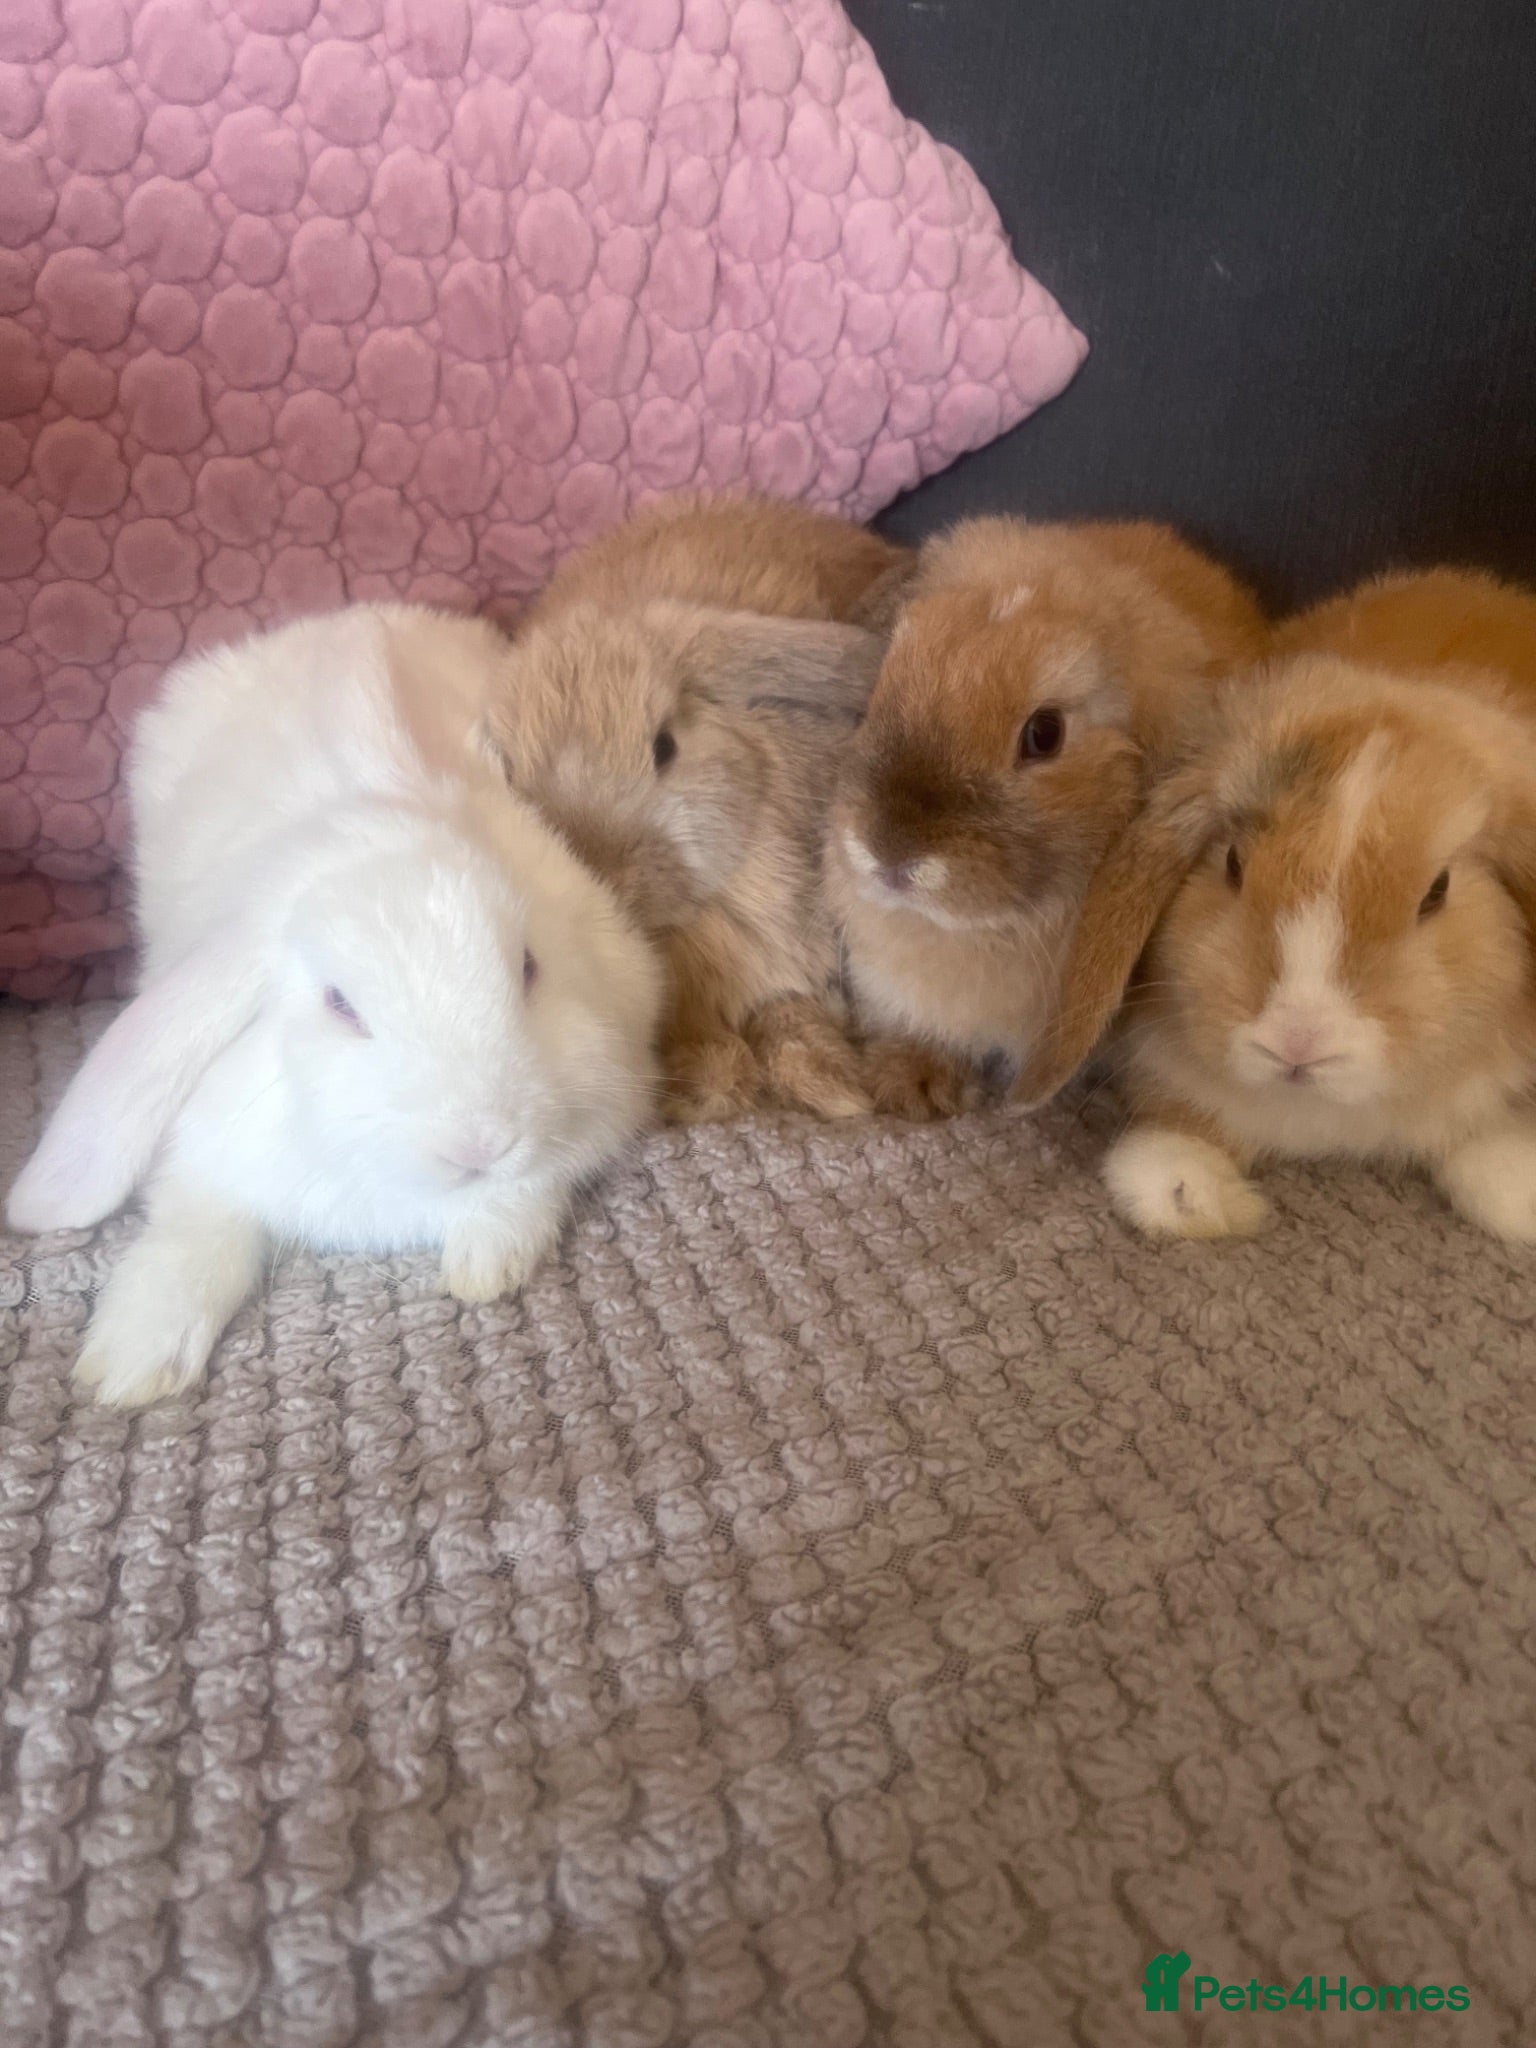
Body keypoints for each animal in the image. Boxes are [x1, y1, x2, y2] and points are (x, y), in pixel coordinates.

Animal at [6, 605, 662, 1407]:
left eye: (529, 967)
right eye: (340, 1005)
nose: (478, 1145)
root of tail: (342, 616)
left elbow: (529, 1190)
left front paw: (485, 1263)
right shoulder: (209, 1159)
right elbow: (193, 1237)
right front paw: (131, 1364)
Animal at [481, 493, 915, 1122]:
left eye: (664, 747)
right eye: (513, 774)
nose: (606, 875)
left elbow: (790, 1020)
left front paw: (833, 1088)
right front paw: (713, 1081)